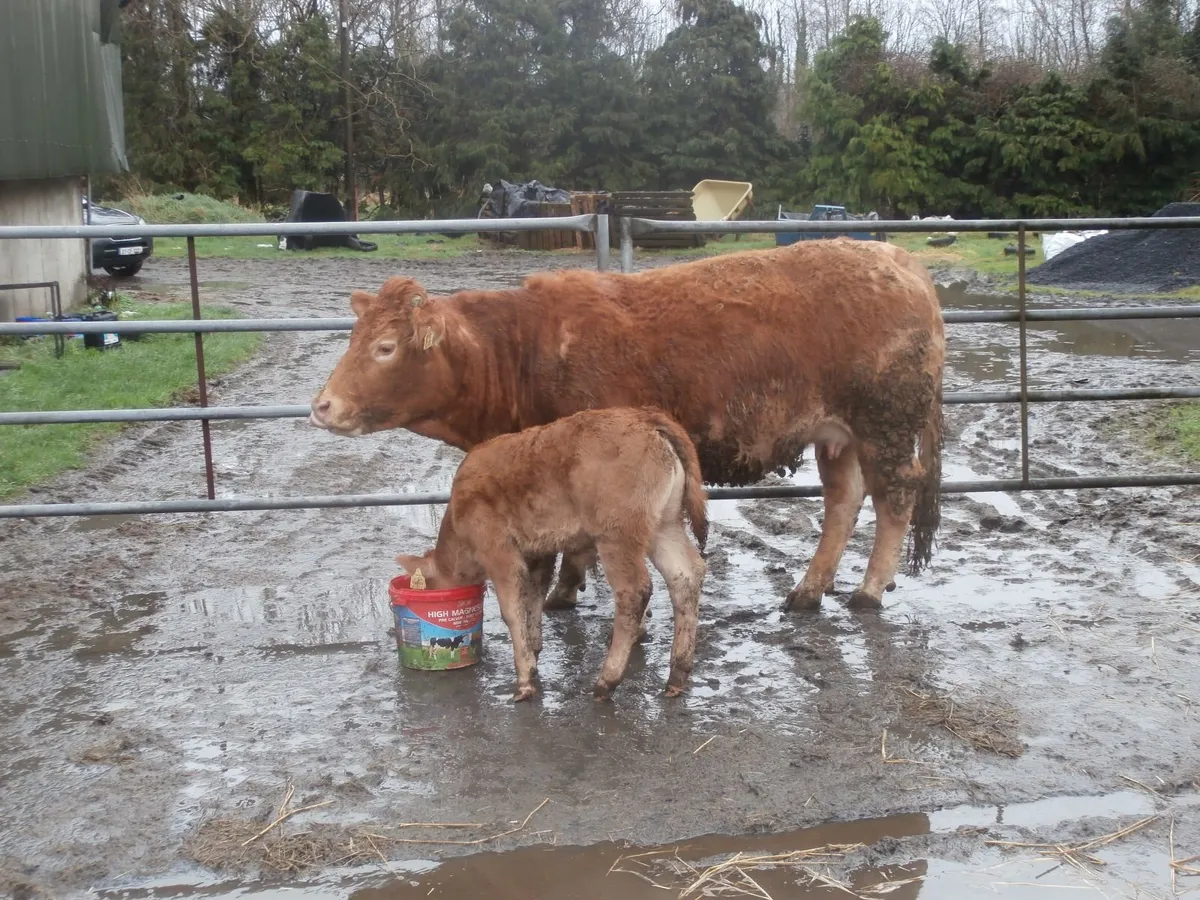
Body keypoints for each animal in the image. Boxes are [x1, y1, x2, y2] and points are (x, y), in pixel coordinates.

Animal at [311, 237, 944, 614]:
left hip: (885, 423)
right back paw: (809, 589)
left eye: (386, 347)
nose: (321, 406)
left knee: (894, 496)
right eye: (355, 337)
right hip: (838, 435)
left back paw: (867, 590)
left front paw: (564, 591)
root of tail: (895, 257)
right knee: (844, 499)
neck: (524, 349)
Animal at [396, 407, 708, 702]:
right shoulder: (537, 553)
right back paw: (677, 676)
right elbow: (533, 599)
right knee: (685, 575)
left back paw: (607, 682)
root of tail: (646, 418)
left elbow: (512, 612)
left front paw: (524, 681)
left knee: (634, 592)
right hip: (664, 526)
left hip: (617, 536)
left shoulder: (500, 554)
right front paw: (534, 655)